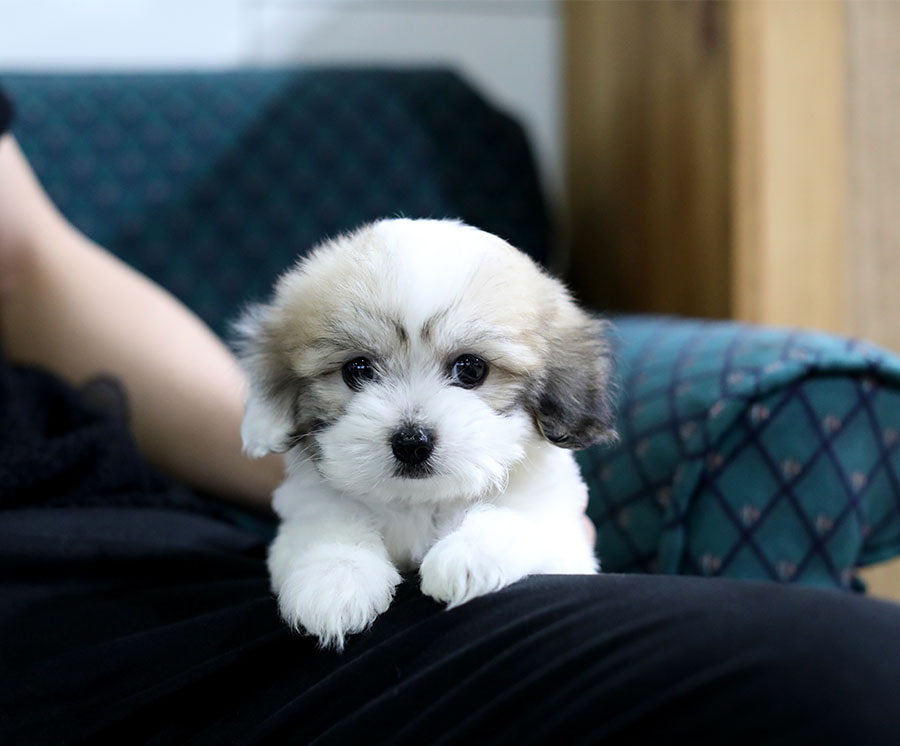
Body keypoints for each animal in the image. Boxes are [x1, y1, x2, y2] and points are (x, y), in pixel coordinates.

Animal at [237, 218, 620, 648]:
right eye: (357, 370)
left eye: (471, 369)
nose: (412, 442)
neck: (418, 502)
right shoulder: (308, 506)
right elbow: (327, 528)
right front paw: (334, 578)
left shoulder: (562, 536)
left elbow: (523, 523)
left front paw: (470, 555)